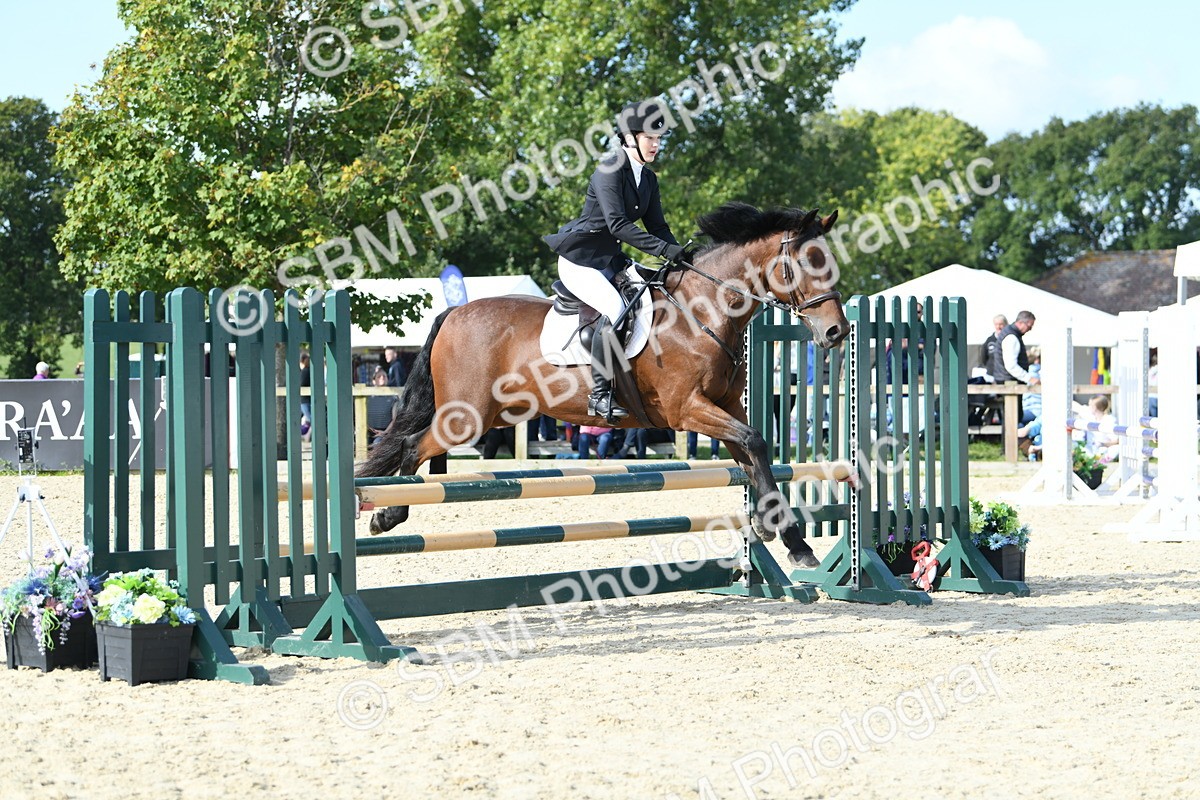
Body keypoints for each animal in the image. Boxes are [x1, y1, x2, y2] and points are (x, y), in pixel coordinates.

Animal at [357, 202, 850, 567]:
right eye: (804, 264)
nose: (836, 333)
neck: (702, 311)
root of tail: (454, 312)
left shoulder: (727, 406)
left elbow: (753, 451)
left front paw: (785, 537)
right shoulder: (686, 409)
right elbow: (755, 442)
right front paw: (787, 537)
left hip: (489, 415)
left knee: (419, 445)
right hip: (468, 417)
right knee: (411, 445)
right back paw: (387, 514)